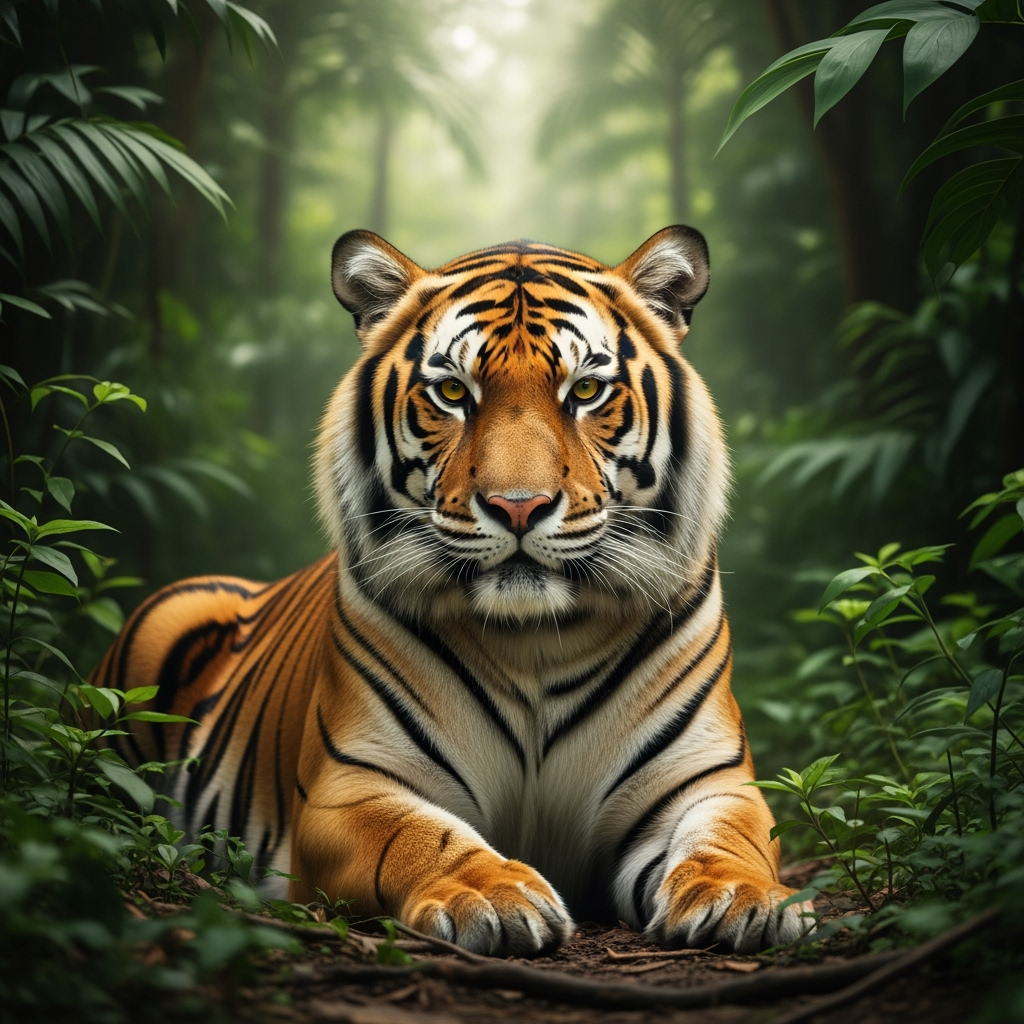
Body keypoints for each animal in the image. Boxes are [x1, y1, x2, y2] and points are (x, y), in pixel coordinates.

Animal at [93, 226, 812, 957]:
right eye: (451, 392)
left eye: (585, 390)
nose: (519, 506)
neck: (535, 639)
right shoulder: (351, 787)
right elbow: (419, 837)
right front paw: (489, 895)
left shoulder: (708, 781)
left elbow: (731, 839)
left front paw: (744, 898)